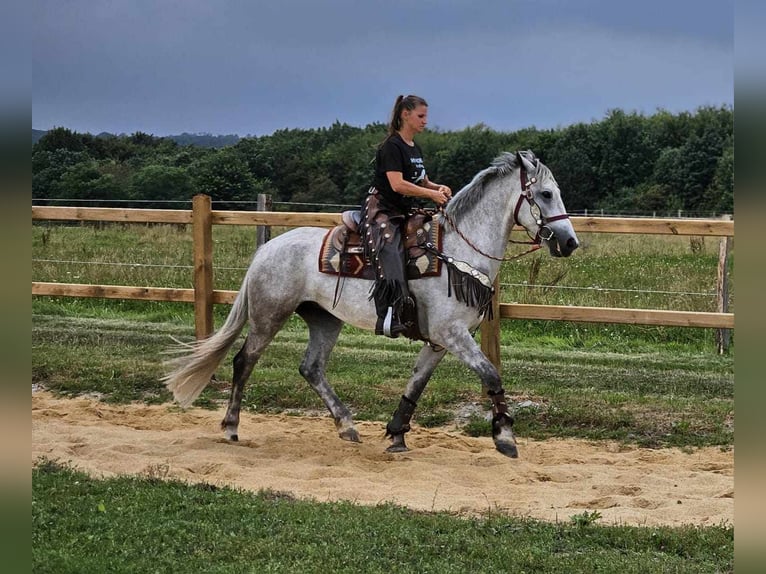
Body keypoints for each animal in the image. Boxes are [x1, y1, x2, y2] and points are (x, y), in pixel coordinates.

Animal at [164, 151, 584, 462]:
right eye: (546, 194)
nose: (569, 243)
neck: (455, 251)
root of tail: (266, 249)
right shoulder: (452, 333)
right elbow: (492, 375)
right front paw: (505, 437)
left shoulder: (439, 340)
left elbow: (416, 382)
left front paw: (397, 435)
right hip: (270, 316)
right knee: (243, 361)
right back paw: (231, 427)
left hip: (325, 320)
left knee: (311, 368)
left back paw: (347, 426)